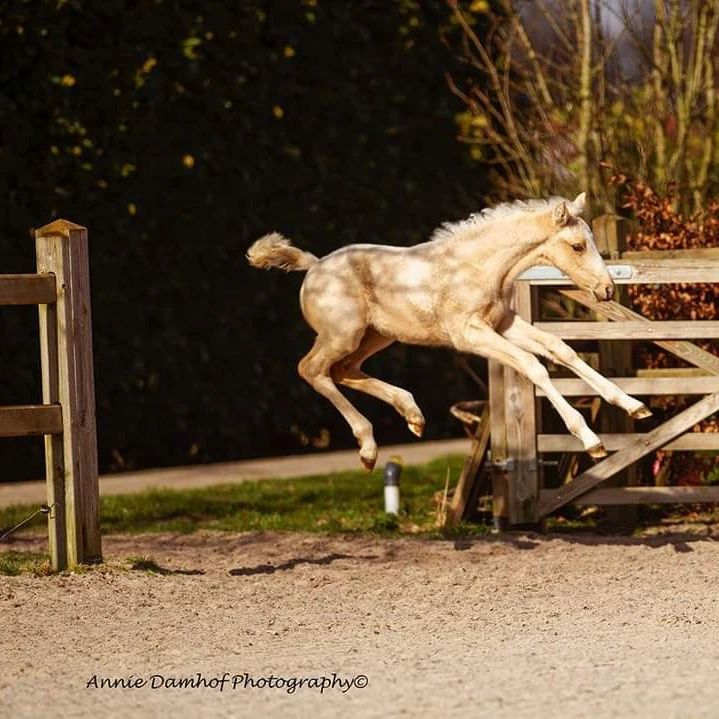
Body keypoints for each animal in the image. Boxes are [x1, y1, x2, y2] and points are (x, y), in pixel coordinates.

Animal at [249, 194, 652, 470]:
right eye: (577, 246)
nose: (606, 290)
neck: (478, 266)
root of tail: (314, 266)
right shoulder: (469, 333)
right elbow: (532, 365)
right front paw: (590, 439)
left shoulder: (503, 323)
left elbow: (559, 348)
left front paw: (634, 406)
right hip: (342, 335)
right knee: (312, 370)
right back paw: (368, 447)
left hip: (375, 336)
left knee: (344, 370)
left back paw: (412, 414)